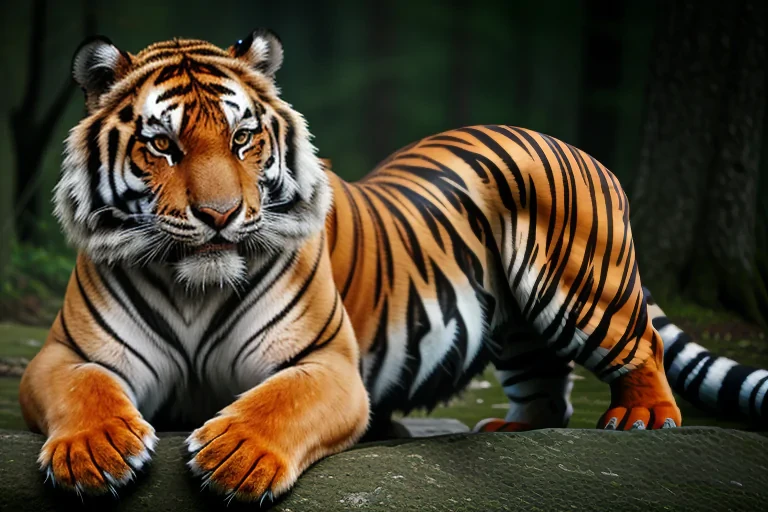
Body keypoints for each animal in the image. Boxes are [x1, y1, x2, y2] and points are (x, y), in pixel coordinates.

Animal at [18, 29, 766, 505]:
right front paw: (94, 451)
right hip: (516, 325)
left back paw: (641, 417)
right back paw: (516, 430)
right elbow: (86, 390)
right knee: (547, 387)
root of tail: (562, 139)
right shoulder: (63, 354)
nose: (222, 216)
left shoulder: (327, 364)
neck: (194, 286)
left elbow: (277, 402)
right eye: (163, 146)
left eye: (243, 137)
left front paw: (235, 456)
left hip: (580, 286)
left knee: (640, 345)